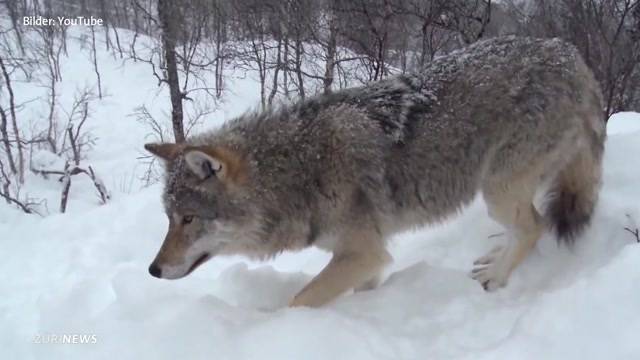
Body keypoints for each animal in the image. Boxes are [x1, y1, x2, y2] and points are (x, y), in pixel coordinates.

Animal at [144, 36, 604, 306]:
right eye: (168, 219)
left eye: (189, 219)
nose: (153, 270)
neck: (298, 171)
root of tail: (571, 53)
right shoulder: (365, 258)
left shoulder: (363, 252)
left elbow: (299, 300)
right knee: (526, 226)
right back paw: (494, 257)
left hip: (497, 189)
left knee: (535, 225)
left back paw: (495, 275)